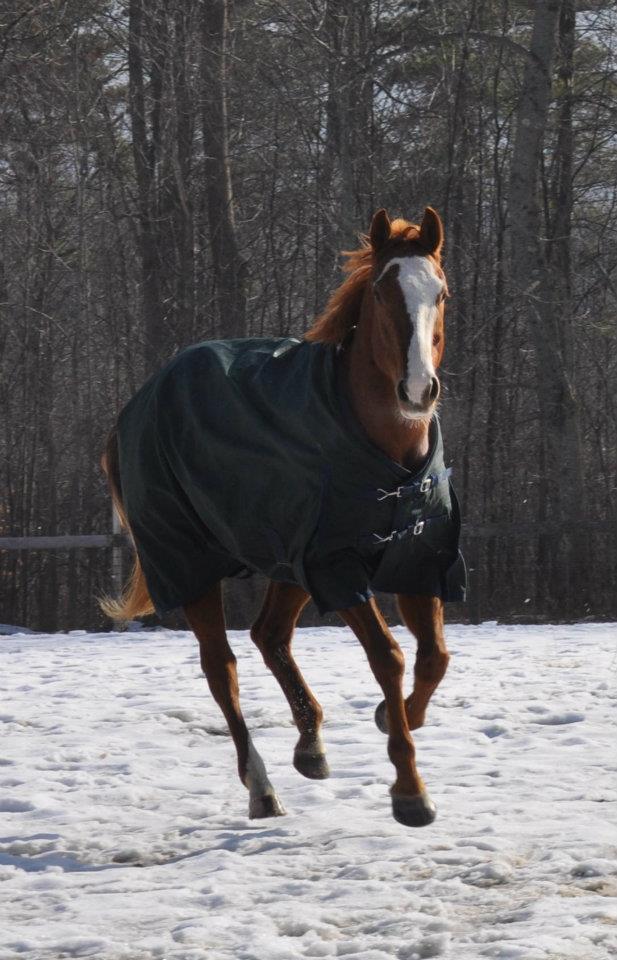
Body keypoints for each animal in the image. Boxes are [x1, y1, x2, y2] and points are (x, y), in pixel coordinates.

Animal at [102, 208, 452, 824]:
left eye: (441, 291)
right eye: (381, 291)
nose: (417, 390)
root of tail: (135, 406)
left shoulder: (415, 558)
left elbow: (434, 657)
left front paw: (395, 717)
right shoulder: (337, 566)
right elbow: (388, 658)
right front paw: (410, 790)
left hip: (288, 562)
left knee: (270, 636)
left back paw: (310, 747)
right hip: (191, 564)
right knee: (222, 668)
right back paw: (261, 788)